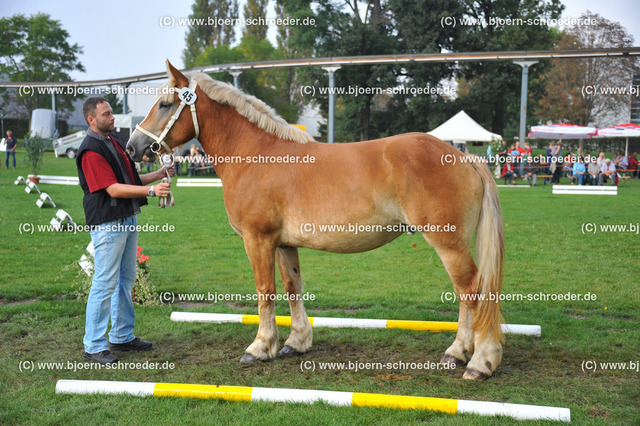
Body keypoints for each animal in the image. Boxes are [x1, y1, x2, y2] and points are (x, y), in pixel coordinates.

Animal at [125, 61, 504, 382]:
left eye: (164, 104)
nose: (132, 146)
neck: (257, 154)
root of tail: (464, 156)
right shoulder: (283, 243)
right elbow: (292, 287)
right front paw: (296, 341)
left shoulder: (257, 240)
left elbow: (265, 290)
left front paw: (260, 347)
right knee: (465, 294)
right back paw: (458, 353)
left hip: (448, 243)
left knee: (472, 291)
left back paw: (479, 361)